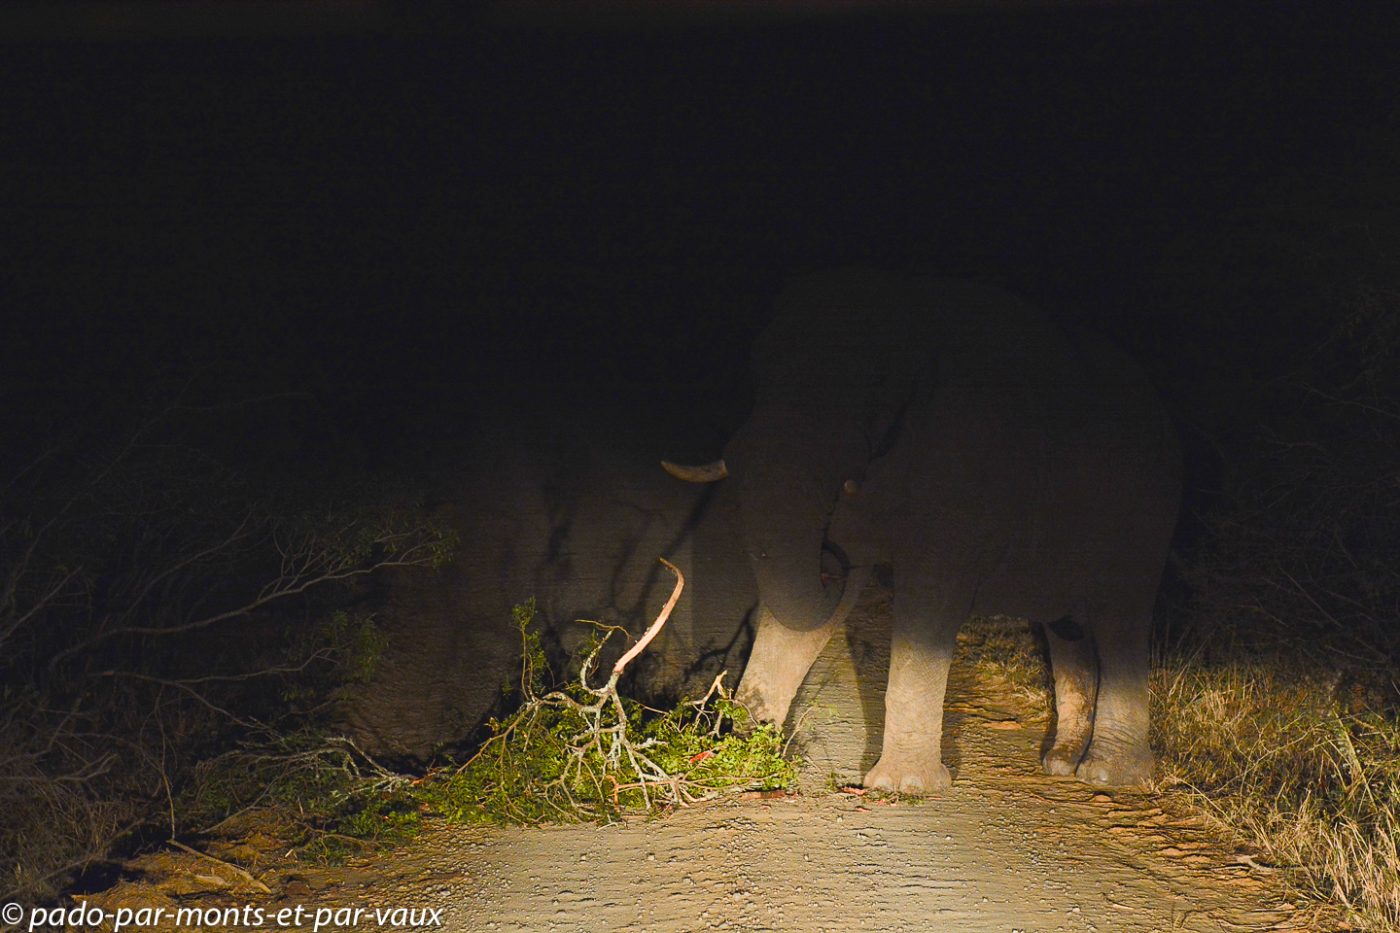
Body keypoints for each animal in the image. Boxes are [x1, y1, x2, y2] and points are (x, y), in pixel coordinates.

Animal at [663, 267, 1180, 791]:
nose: (829, 561)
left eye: (876, 379)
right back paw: (1060, 761)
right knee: (1067, 624)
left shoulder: (966, 462)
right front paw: (737, 753)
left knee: (1120, 616)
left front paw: (903, 787)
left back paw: (1108, 775)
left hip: (1148, 505)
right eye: (759, 368)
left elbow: (931, 596)